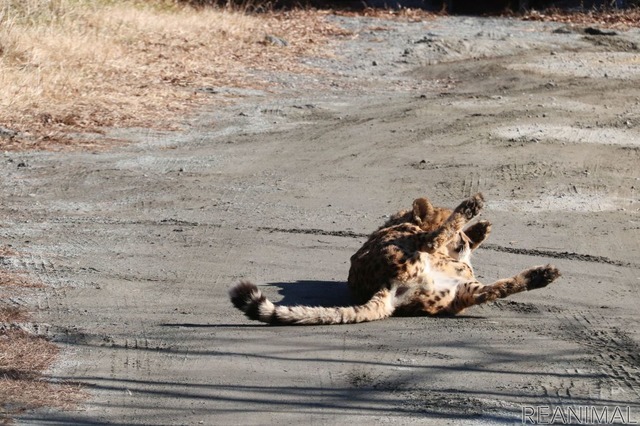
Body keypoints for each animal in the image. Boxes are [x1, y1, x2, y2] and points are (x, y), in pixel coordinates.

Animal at [231, 194, 560, 326]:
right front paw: (472, 226)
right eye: (459, 239)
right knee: (431, 241)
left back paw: (541, 275)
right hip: (418, 255)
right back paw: (470, 206)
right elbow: (440, 233)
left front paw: (479, 230)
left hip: (460, 291)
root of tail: (387, 289)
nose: (464, 241)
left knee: (494, 289)